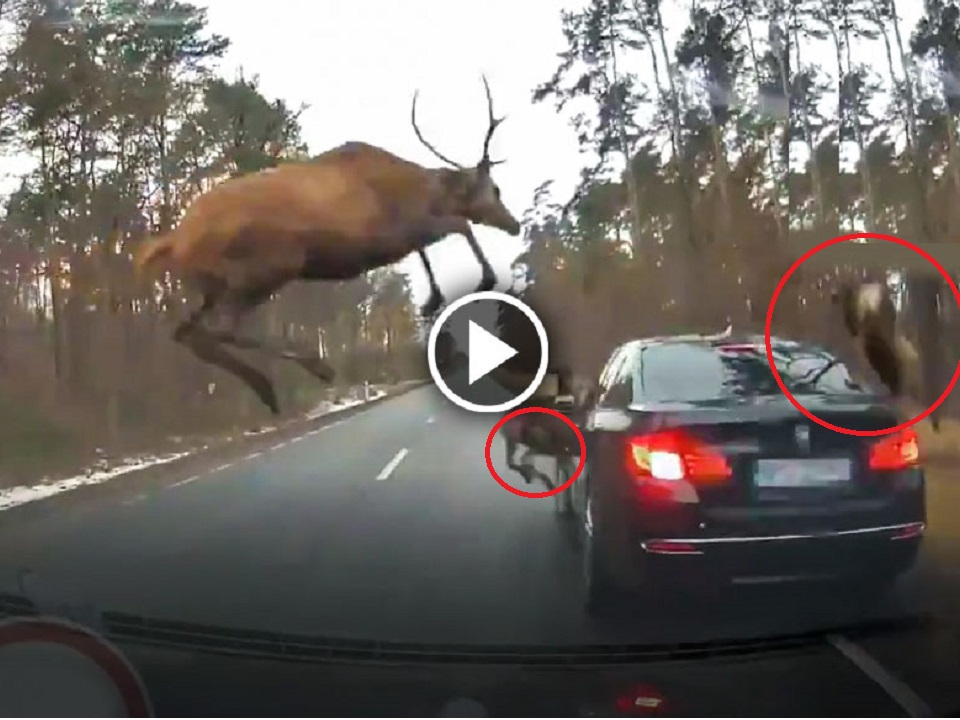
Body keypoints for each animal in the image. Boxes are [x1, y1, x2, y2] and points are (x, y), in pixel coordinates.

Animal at [135, 75, 520, 416]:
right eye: (496, 189)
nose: (514, 225)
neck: (419, 190)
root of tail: (172, 240)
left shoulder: (402, 236)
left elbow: (426, 247)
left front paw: (432, 300)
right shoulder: (392, 233)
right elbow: (459, 225)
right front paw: (481, 280)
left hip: (209, 286)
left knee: (187, 334)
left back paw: (267, 389)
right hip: (267, 268)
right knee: (222, 330)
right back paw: (314, 367)